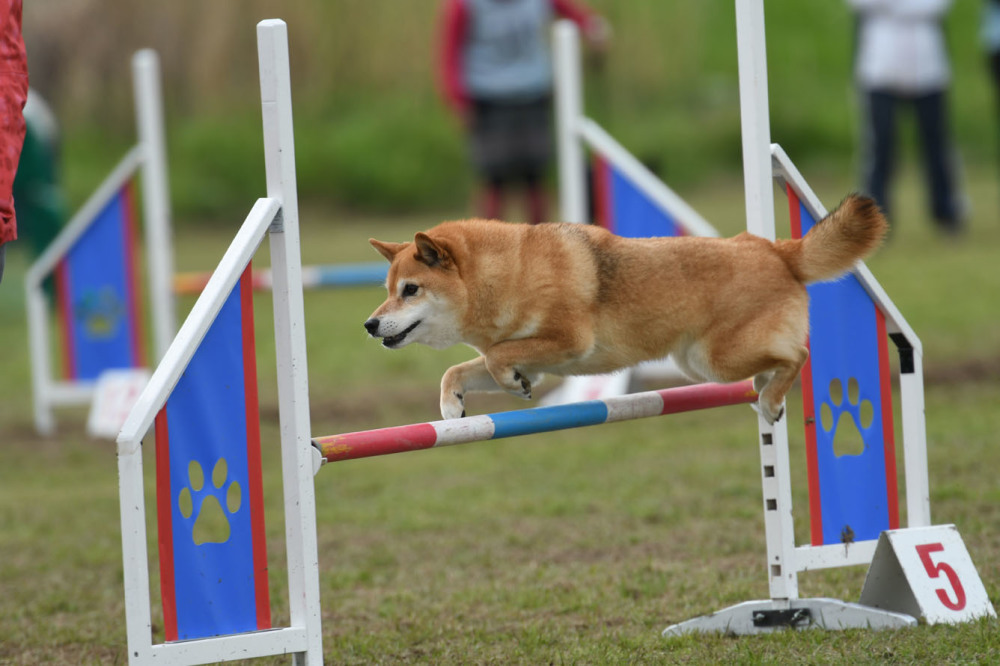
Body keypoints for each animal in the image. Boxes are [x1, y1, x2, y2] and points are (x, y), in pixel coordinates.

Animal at [364, 192, 888, 420]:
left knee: (798, 355)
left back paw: (774, 399)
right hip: (701, 364)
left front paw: (509, 384)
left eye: (411, 289)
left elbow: (495, 358)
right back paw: (766, 389)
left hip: (715, 358)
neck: (508, 274)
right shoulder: (539, 360)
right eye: (389, 287)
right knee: (782, 358)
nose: (369, 324)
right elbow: (458, 370)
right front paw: (452, 407)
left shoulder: (568, 340)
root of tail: (777, 249)